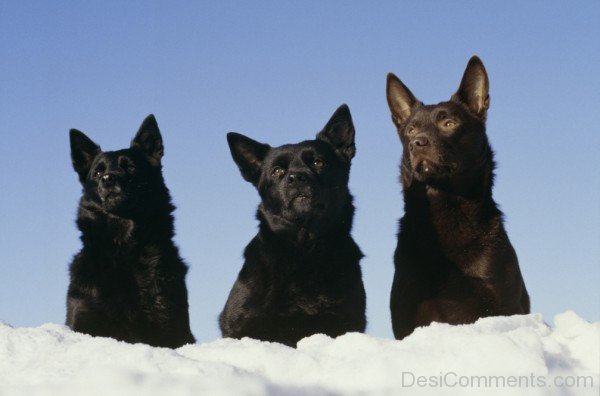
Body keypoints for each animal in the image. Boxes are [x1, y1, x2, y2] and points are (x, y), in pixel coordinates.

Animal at [67, 114, 196, 346]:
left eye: (131, 167)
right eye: (98, 171)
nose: (108, 179)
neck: (123, 248)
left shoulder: (168, 320)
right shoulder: (84, 315)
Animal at [384, 56, 528, 340]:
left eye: (449, 124)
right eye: (411, 130)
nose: (417, 143)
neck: (446, 206)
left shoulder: (502, 301)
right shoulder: (409, 307)